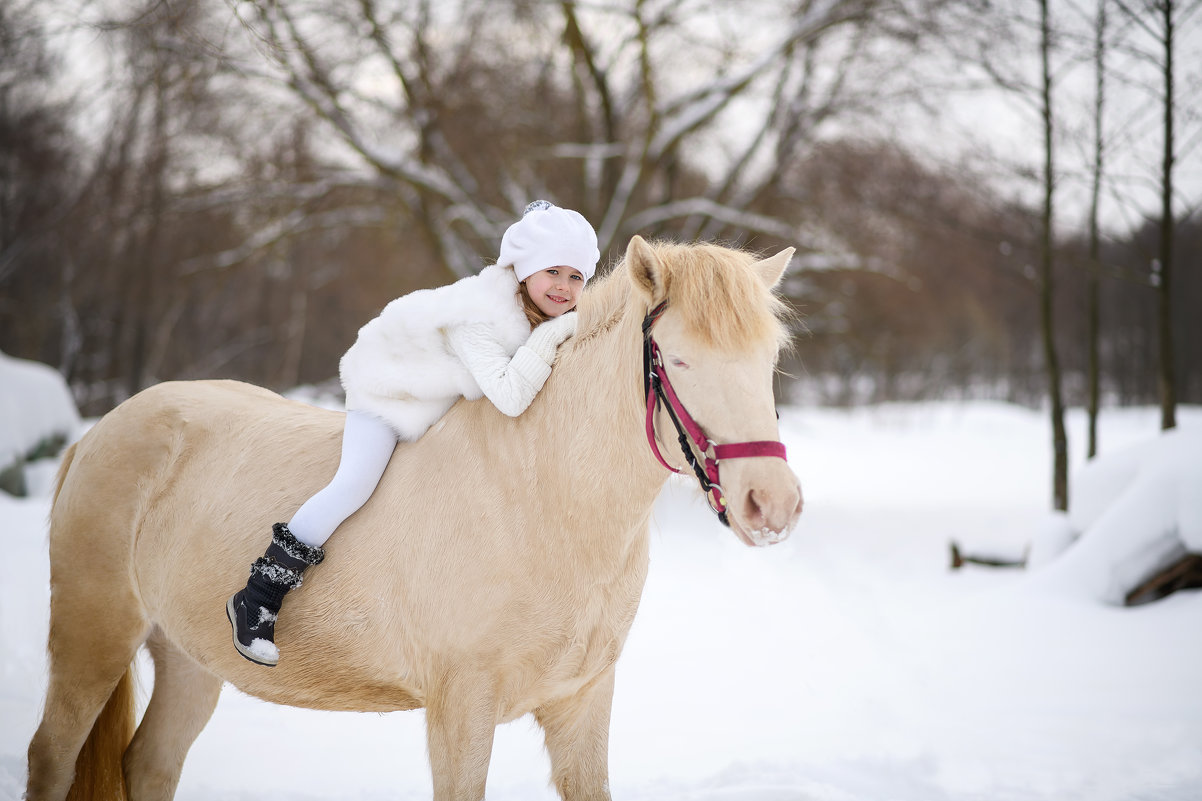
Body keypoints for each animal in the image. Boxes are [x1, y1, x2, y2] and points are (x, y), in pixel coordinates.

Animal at [23, 235, 802, 798]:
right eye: (680, 360)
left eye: (768, 360)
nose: (774, 503)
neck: (541, 497)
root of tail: (100, 431)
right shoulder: (460, 708)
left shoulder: (582, 703)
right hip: (95, 633)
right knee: (51, 756)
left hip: (187, 657)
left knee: (151, 765)